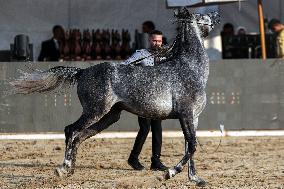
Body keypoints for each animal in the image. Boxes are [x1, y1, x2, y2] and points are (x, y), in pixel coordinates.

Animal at [10, 8, 220, 186]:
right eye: (202, 16)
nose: (216, 14)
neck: (188, 68)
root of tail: (82, 72)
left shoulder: (193, 118)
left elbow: (189, 146)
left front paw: (195, 179)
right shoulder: (185, 114)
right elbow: (192, 146)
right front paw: (167, 173)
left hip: (110, 116)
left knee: (79, 136)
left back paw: (71, 170)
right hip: (95, 110)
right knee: (71, 130)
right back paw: (63, 169)